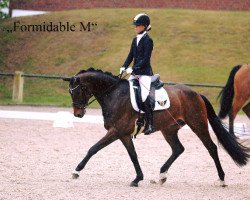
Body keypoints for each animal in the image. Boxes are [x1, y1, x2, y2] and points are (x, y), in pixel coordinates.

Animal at [63, 67, 250, 188]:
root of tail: (196, 93)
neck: (114, 94)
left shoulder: (116, 131)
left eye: (77, 91)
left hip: (198, 124)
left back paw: (222, 180)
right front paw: (138, 178)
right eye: (70, 92)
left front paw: (76, 171)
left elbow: (93, 148)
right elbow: (133, 155)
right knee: (178, 149)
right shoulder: (123, 134)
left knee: (211, 148)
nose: (78, 114)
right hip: (169, 129)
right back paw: (161, 176)